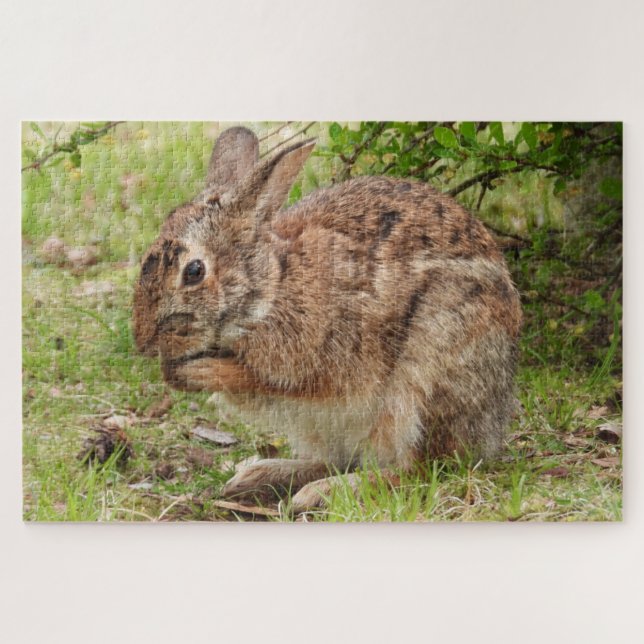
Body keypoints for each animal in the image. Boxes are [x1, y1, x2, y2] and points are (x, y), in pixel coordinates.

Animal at [133, 125, 522, 512]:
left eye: (194, 271)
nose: (144, 342)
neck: (273, 285)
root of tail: (492, 430)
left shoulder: (320, 357)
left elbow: (264, 378)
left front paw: (194, 372)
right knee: (336, 459)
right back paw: (259, 477)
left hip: (426, 382)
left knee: (418, 469)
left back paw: (325, 491)